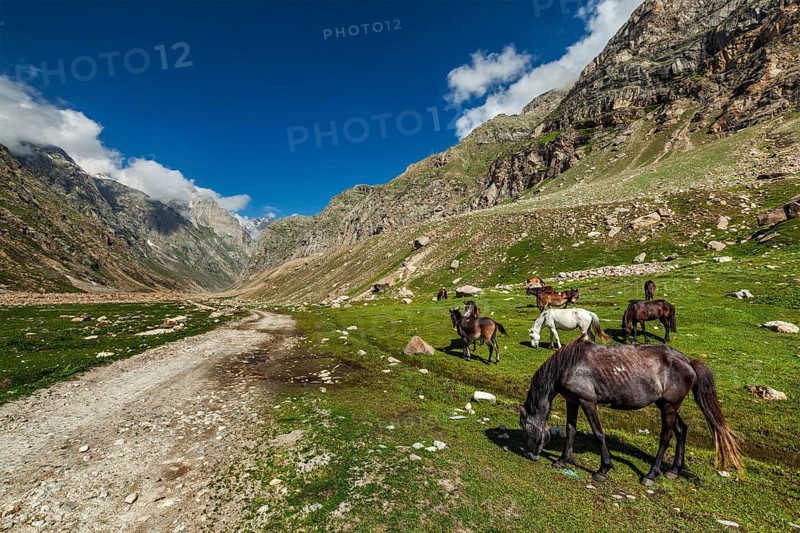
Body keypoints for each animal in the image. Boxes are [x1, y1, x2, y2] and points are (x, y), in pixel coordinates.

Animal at [519, 338, 742, 486]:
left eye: (525, 429)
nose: (530, 455)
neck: (569, 364)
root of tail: (688, 361)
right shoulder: (572, 401)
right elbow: (570, 430)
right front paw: (563, 459)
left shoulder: (588, 402)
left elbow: (599, 434)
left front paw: (603, 469)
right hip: (666, 404)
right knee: (681, 430)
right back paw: (674, 470)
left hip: (669, 406)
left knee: (666, 437)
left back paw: (651, 475)